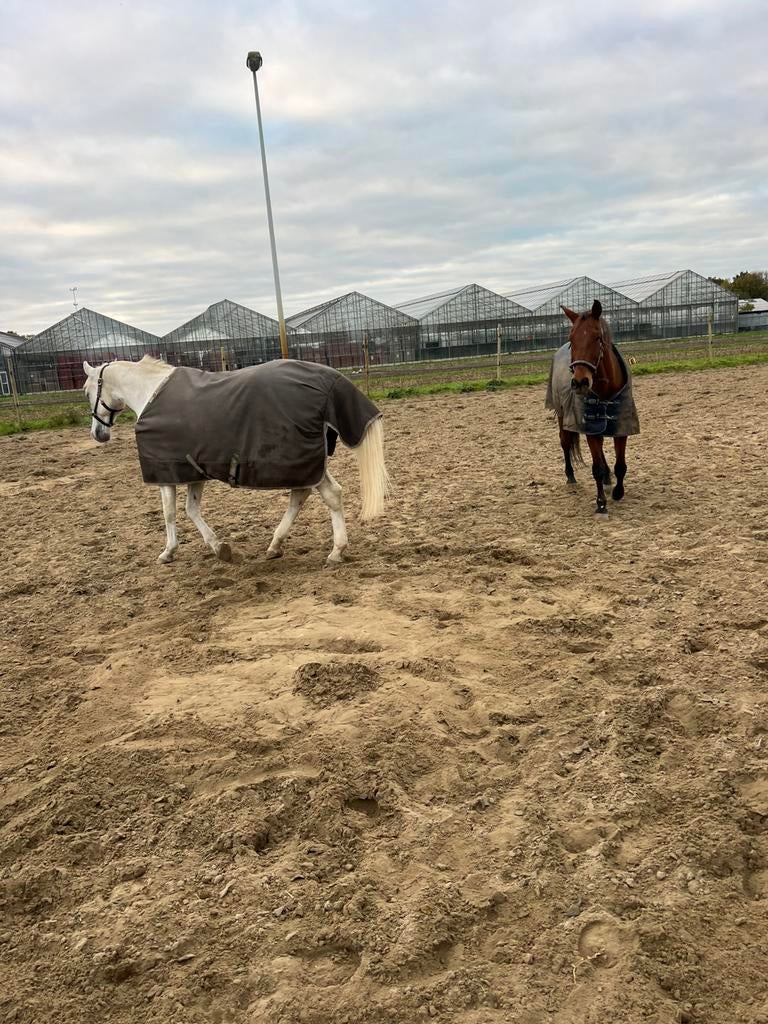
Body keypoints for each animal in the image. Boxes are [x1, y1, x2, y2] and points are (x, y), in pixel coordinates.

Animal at [82, 356, 391, 565]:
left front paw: (169, 551)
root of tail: (328, 382)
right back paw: (276, 545)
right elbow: (191, 509)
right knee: (303, 495)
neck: (150, 392)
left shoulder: (166, 472)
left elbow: (170, 512)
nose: (98, 434)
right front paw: (220, 548)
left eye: (86, 391)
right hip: (304, 464)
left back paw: (335, 551)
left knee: (328, 495)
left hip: (301, 462)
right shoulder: (193, 470)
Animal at [545, 299, 640, 514]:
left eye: (597, 338)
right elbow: (596, 468)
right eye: (571, 339)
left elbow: (620, 465)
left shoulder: (621, 427)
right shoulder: (589, 428)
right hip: (562, 416)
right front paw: (601, 503)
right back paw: (571, 476)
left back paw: (607, 478)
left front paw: (618, 492)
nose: (580, 382)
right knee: (565, 442)